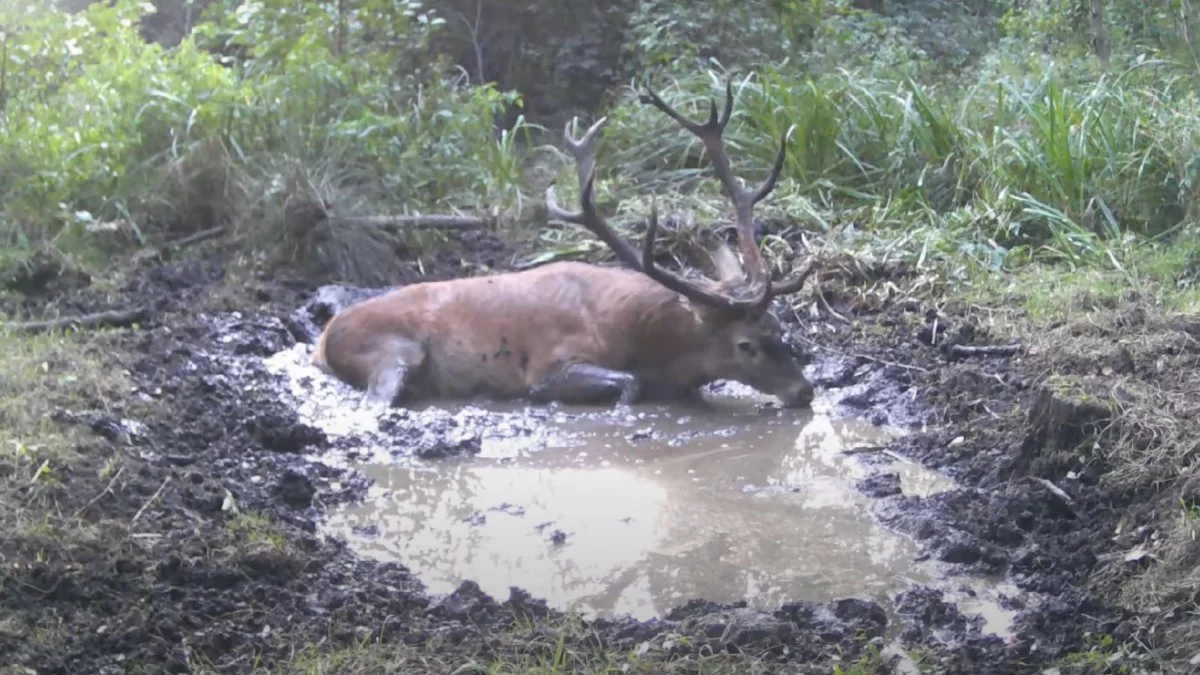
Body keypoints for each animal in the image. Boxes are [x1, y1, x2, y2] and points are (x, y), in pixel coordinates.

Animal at [309, 78, 816, 403]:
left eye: (779, 329)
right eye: (745, 345)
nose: (804, 390)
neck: (648, 343)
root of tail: (324, 337)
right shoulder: (548, 363)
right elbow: (628, 385)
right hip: (393, 351)